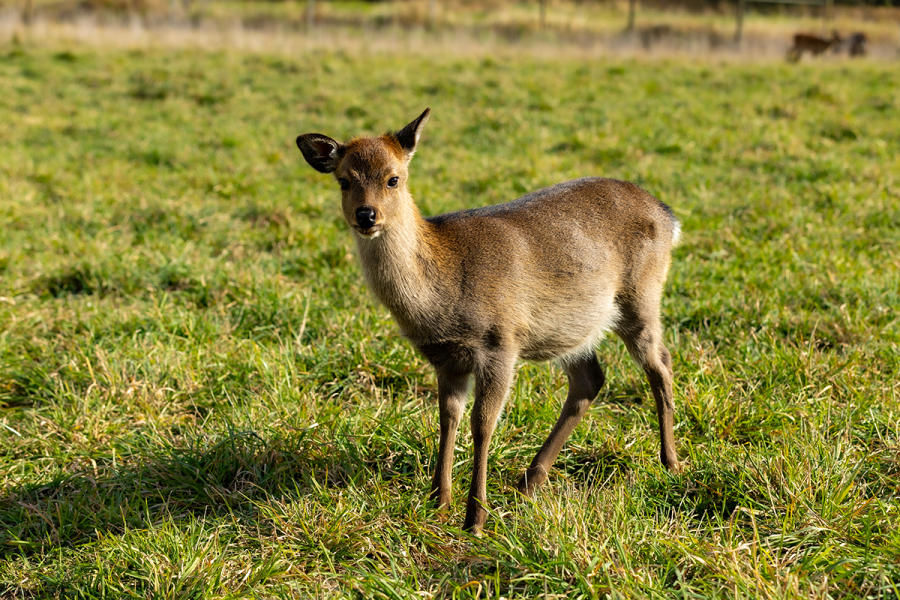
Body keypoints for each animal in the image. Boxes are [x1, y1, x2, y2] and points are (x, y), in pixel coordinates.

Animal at [296, 109, 682, 534]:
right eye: (344, 180)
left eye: (393, 178)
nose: (366, 215)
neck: (442, 292)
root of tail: (668, 215)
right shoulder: (445, 359)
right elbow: (447, 418)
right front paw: (438, 502)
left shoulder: (501, 342)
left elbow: (482, 426)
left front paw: (475, 518)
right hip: (574, 328)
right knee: (590, 380)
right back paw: (529, 482)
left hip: (641, 296)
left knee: (661, 363)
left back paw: (670, 462)